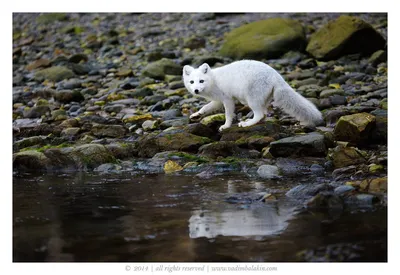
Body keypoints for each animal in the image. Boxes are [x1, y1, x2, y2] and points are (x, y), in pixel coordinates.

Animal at [183, 60, 324, 133]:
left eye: (201, 81)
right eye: (192, 82)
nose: (196, 90)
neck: (213, 80)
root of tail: (276, 75)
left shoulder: (227, 99)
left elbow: (228, 115)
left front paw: (226, 126)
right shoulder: (218, 100)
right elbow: (205, 108)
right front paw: (196, 115)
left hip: (251, 99)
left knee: (260, 114)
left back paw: (247, 123)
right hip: (263, 99)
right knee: (264, 114)